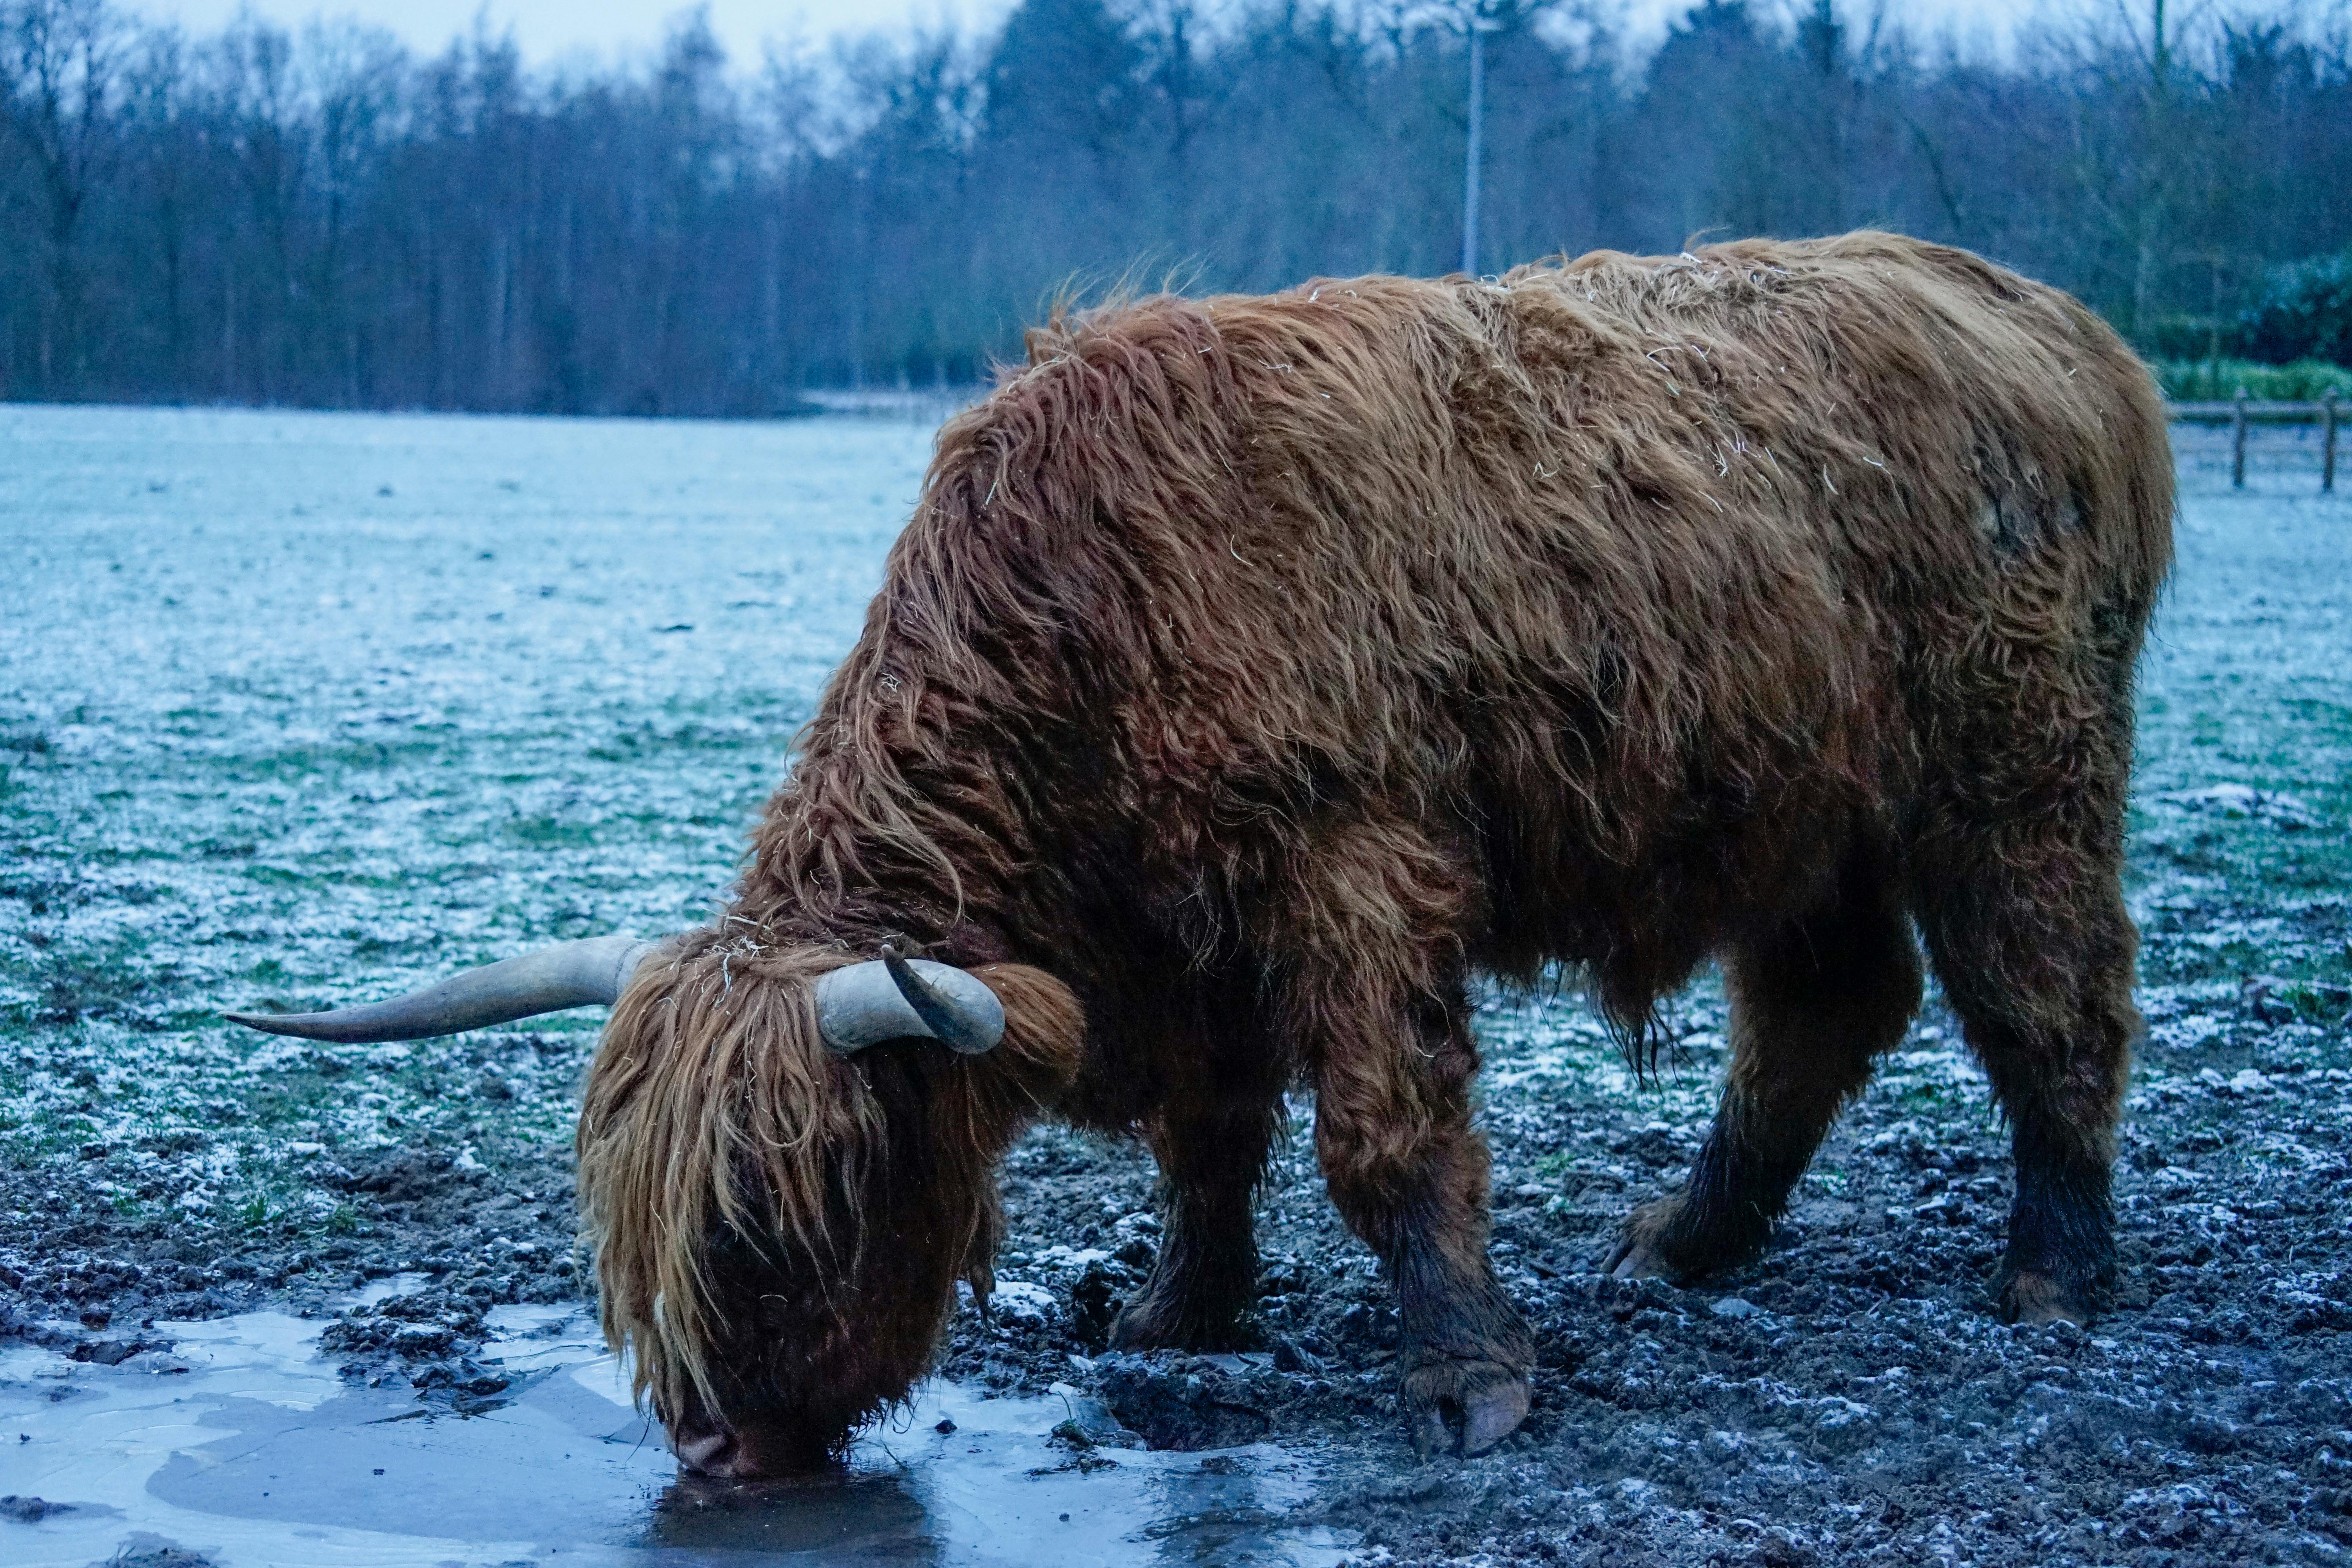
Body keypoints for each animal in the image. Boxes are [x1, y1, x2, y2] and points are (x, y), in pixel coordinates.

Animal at [232, 231, 2174, 1477]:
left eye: (798, 1202)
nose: (715, 1447)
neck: (1082, 609)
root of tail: (2043, 314)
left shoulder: (1349, 860)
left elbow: (1383, 1136)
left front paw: (1466, 1380)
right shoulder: (1182, 922)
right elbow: (1209, 1132)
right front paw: (1180, 1309)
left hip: (2011, 763)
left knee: (2046, 997)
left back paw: (2053, 1272)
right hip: (1806, 802)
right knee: (1825, 1009)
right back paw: (1679, 1243)